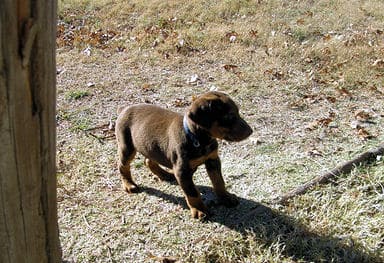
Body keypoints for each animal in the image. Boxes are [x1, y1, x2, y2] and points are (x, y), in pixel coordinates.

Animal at [115, 92, 252, 220]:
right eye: (229, 116)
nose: (251, 131)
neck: (199, 140)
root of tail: (124, 109)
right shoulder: (182, 171)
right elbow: (192, 193)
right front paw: (199, 209)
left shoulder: (213, 159)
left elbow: (219, 181)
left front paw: (226, 197)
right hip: (127, 146)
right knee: (122, 166)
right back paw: (129, 184)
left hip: (150, 146)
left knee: (148, 161)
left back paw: (165, 174)